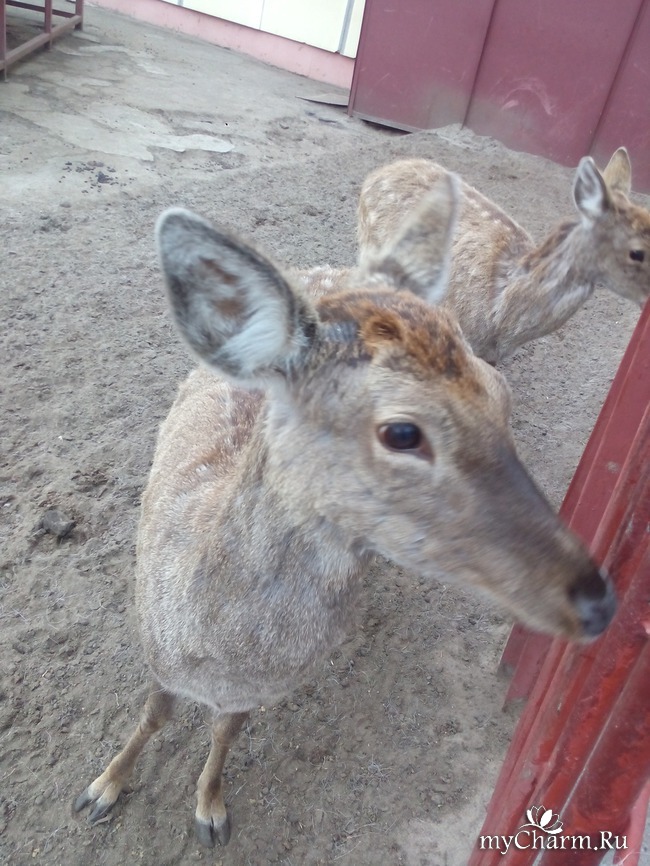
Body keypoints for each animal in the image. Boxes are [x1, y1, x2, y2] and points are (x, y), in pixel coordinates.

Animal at [74, 176, 615, 848]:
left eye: (499, 396)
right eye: (402, 432)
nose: (598, 601)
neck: (219, 651)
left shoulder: (260, 689)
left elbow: (225, 733)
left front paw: (210, 811)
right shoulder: (154, 644)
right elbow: (153, 716)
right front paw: (101, 789)